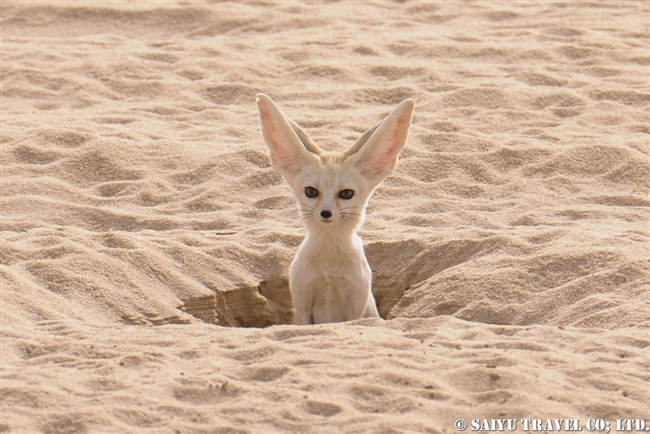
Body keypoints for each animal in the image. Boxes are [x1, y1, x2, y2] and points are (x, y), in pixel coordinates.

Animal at [256, 95, 412, 326]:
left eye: (346, 194)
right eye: (311, 191)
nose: (326, 213)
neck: (329, 269)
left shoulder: (355, 306)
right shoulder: (302, 304)